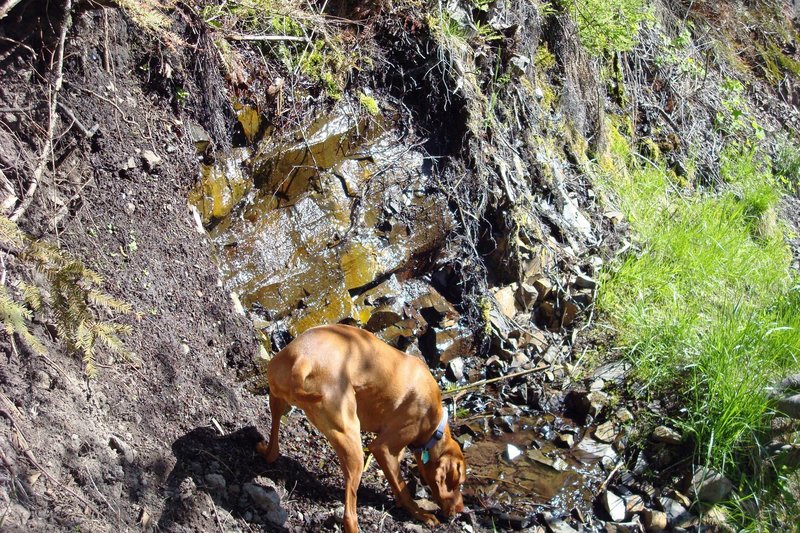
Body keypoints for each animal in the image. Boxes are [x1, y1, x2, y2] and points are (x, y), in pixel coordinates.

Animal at [256, 322, 466, 528]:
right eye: (460, 483)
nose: (460, 510)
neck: (435, 426)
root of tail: (302, 360)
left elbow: (398, 484)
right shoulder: (383, 448)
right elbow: (403, 488)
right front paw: (420, 514)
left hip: (277, 398)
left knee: (273, 450)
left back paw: (264, 451)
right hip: (352, 442)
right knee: (349, 515)